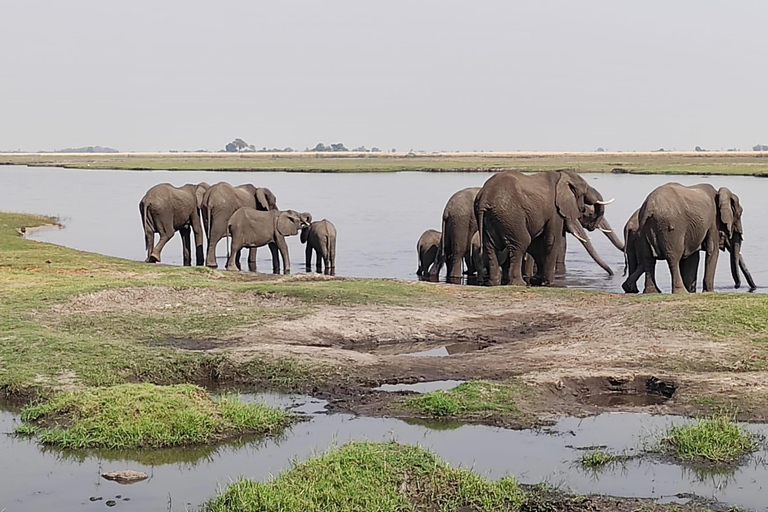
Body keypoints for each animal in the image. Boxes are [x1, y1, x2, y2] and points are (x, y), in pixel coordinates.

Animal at [472, 170, 616, 286]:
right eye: (585, 190)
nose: (612, 274)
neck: (561, 175)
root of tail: (484, 197)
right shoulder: (555, 210)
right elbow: (552, 240)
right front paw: (549, 283)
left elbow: (537, 244)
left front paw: (537, 280)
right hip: (510, 215)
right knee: (521, 242)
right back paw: (519, 283)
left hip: (491, 217)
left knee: (490, 246)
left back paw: (493, 283)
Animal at [616, 184, 756, 294]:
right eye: (740, 214)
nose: (737, 286)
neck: (719, 192)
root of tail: (649, 207)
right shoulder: (713, 222)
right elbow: (712, 251)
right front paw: (708, 292)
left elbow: (692, 257)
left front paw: (692, 290)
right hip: (672, 228)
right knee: (673, 257)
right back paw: (680, 291)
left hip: (643, 228)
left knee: (648, 259)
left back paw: (651, 292)